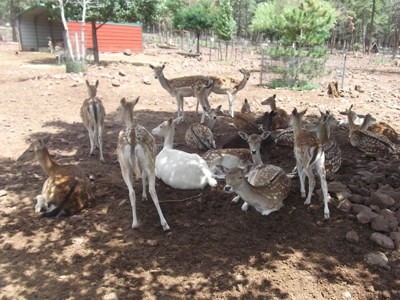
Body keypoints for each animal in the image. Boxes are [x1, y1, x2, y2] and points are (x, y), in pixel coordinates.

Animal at [115, 97, 170, 231]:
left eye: (117, 109)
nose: (115, 119)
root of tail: (133, 141)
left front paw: (143, 196)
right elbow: (142, 178)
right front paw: (144, 196)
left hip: (126, 165)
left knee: (135, 191)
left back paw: (137, 223)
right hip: (146, 163)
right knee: (148, 190)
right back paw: (163, 224)